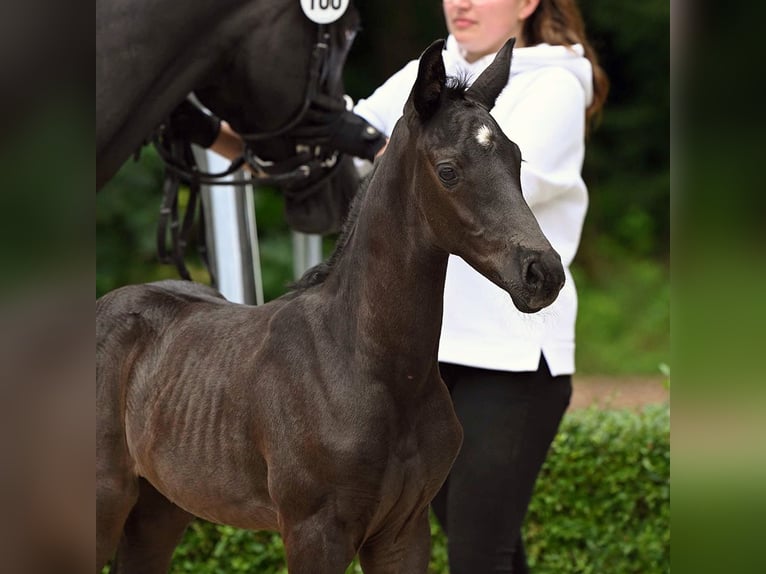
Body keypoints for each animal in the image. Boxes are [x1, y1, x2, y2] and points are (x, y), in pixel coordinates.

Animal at [96, 38, 568, 572]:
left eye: (517, 161)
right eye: (448, 171)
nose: (543, 273)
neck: (374, 367)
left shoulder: (404, 531)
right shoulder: (315, 532)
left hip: (161, 508)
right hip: (101, 502)